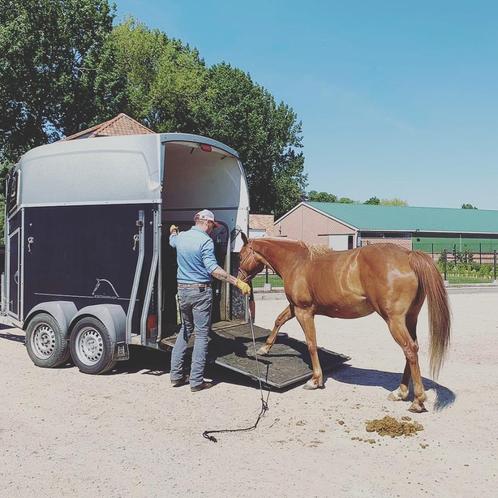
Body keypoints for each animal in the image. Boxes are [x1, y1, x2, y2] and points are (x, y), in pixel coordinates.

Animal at [237, 236, 452, 412]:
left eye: (240, 255)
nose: (240, 280)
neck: (297, 262)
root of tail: (408, 255)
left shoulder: (303, 311)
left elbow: (311, 344)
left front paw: (315, 380)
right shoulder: (294, 307)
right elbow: (279, 320)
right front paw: (264, 348)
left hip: (394, 320)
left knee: (410, 350)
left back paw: (417, 401)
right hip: (410, 319)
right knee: (412, 350)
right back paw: (400, 392)